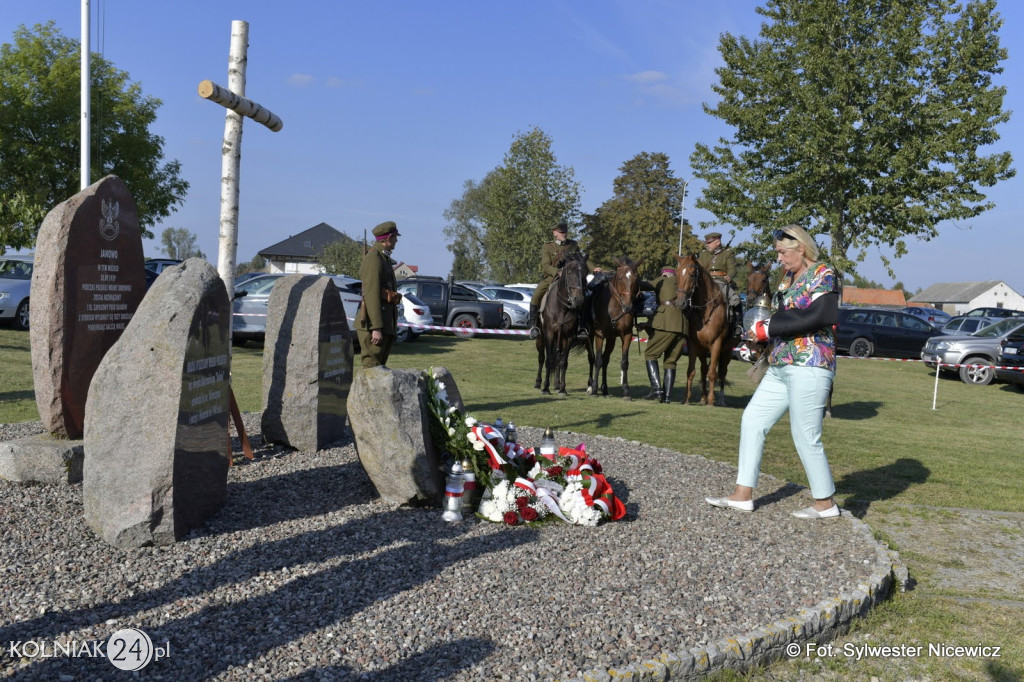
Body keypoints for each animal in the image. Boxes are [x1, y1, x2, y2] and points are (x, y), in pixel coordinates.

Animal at [532, 251, 589, 393]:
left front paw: (563, 389)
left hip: (561, 339)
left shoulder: (568, 337)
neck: (562, 308)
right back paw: (538, 383)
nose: (578, 299)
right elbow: (548, 360)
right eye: (569, 272)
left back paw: (557, 384)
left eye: (585, 272)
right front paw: (545, 388)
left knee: (558, 358)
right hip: (540, 338)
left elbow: (563, 361)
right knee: (541, 358)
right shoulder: (549, 334)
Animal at [585, 256, 638, 399]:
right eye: (620, 278)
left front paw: (626, 391)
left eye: (635, 279)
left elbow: (624, 362)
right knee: (592, 358)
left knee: (605, 359)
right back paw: (590, 386)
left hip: (611, 339)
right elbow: (598, 360)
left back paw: (604, 388)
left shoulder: (626, 335)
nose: (628, 307)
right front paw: (594, 389)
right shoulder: (599, 334)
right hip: (590, 336)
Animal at [671, 253, 737, 403]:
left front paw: (711, 401)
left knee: (721, 373)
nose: (680, 303)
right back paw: (703, 398)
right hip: (703, 351)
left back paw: (720, 399)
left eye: (692, 275)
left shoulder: (717, 344)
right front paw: (687, 399)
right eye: (677, 274)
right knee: (703, 370)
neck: (705, 313)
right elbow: (691, 371)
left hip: (727, 352)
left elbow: (713, 374)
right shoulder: (693, 345)